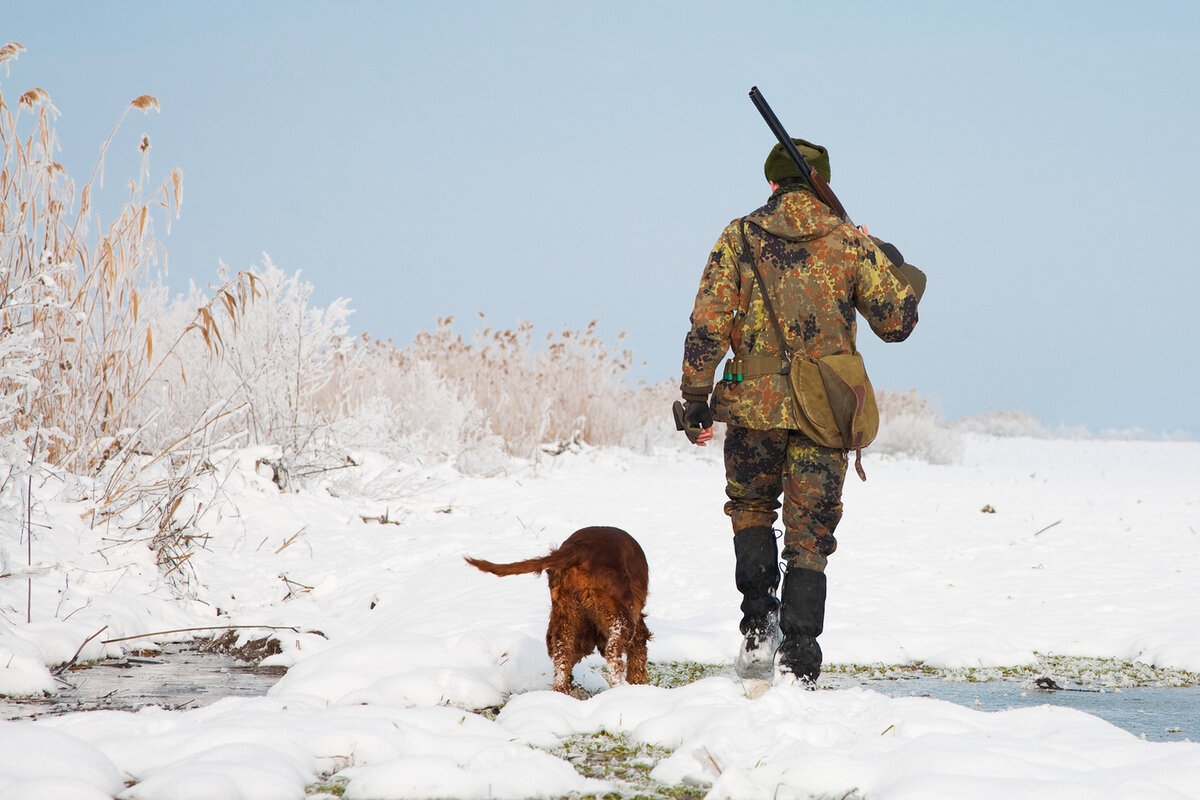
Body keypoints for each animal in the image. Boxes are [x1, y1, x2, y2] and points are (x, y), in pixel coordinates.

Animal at [465, 525, 652, 695]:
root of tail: (579, 550)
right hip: (620, 616)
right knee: (613, 652)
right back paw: (621, 689)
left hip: (565, 613)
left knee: (562, 653)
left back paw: (562, 690)